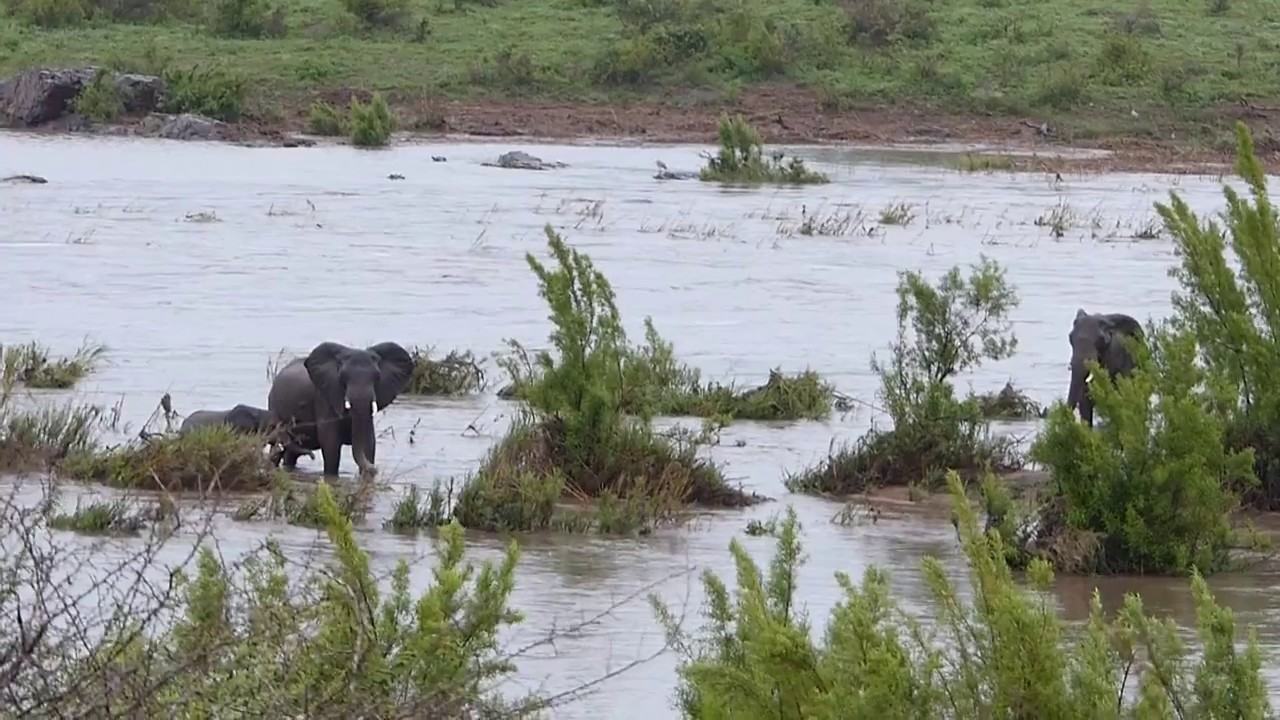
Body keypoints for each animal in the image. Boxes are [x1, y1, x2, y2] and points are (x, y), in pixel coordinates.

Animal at [267, 340, 412, 476]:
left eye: (377, 377)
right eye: (342, 377)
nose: (375, 468)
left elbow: (370, 442)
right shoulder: (324, 397)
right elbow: (331, 445)